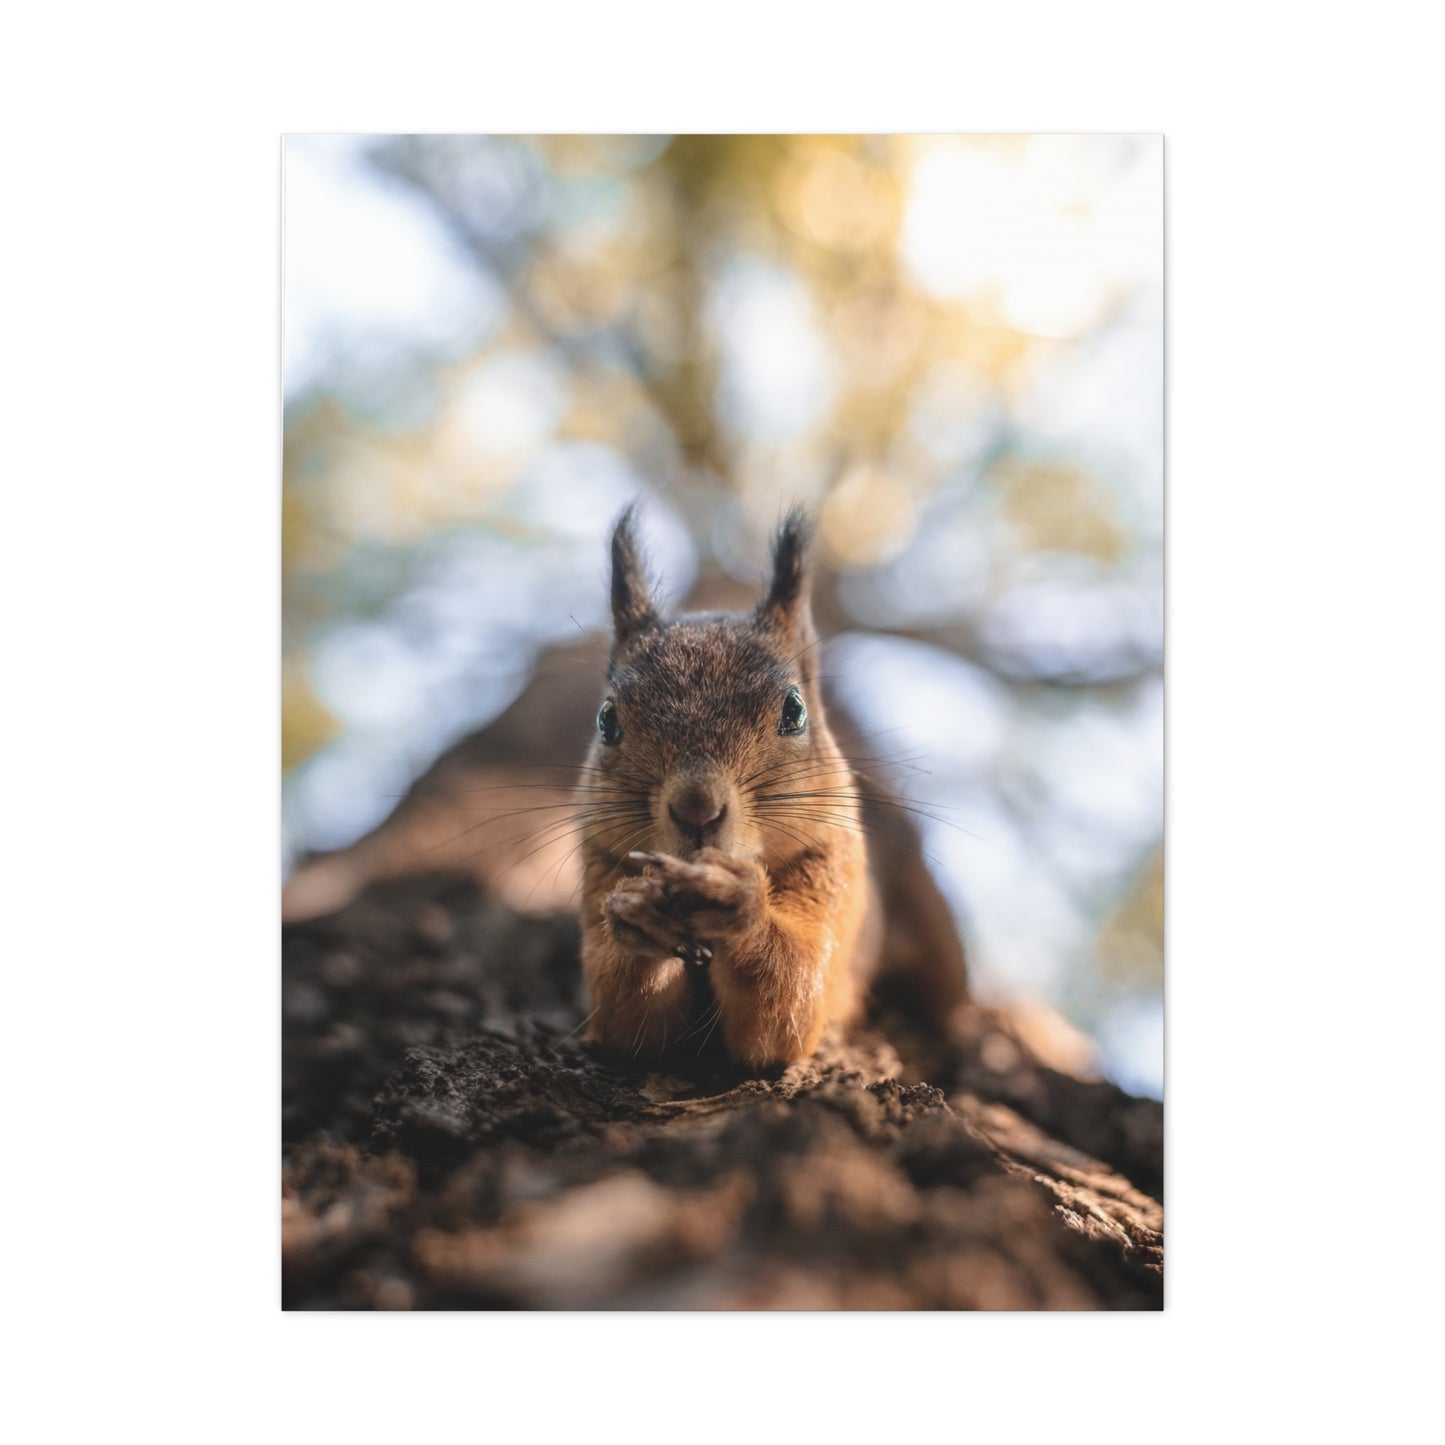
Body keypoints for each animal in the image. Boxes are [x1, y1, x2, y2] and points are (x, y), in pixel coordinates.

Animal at [580, 506, 967, 1070]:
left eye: (794, 710)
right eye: (607, 720)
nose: (697, 809)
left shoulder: (835, 868)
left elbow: (787, 1004)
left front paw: (739, 902)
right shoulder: (597, 866)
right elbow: (627, 1021)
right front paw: (640, 912)